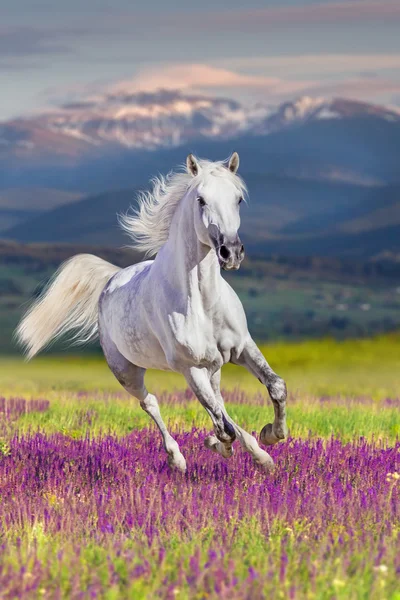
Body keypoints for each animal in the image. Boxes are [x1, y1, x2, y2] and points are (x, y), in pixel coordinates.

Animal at [17, 154, 288, 474]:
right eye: (201, 200)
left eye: (239, 199)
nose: (230, 252)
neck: (203, 303)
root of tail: (112, 279)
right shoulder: (190, 367)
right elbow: (223, 425)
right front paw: (227, 445)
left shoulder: (242, 347)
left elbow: (275, 387)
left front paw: (270, 437)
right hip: (128, 372)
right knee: (152, 403)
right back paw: (178, 459)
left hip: (214, 367)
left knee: (219, 403)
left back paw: (253, 452)